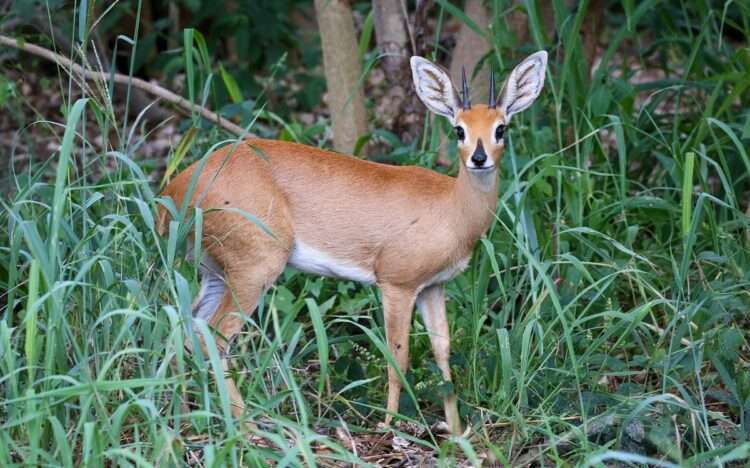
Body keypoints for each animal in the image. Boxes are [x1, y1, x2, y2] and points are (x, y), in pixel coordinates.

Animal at [160, 50, 548, 436]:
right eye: (459, 129)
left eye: (501, 128)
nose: (479, 158)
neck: (452, 210)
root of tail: (176, 188)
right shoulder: (396, 282)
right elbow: (397, 354)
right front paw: (389, 425)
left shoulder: (433, 286)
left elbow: (442, 351)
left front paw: (455, 430)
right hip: (254, 266)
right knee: (215, 335)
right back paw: (248, 425)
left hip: (214, 268)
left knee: (186, 327)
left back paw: (185, 418)